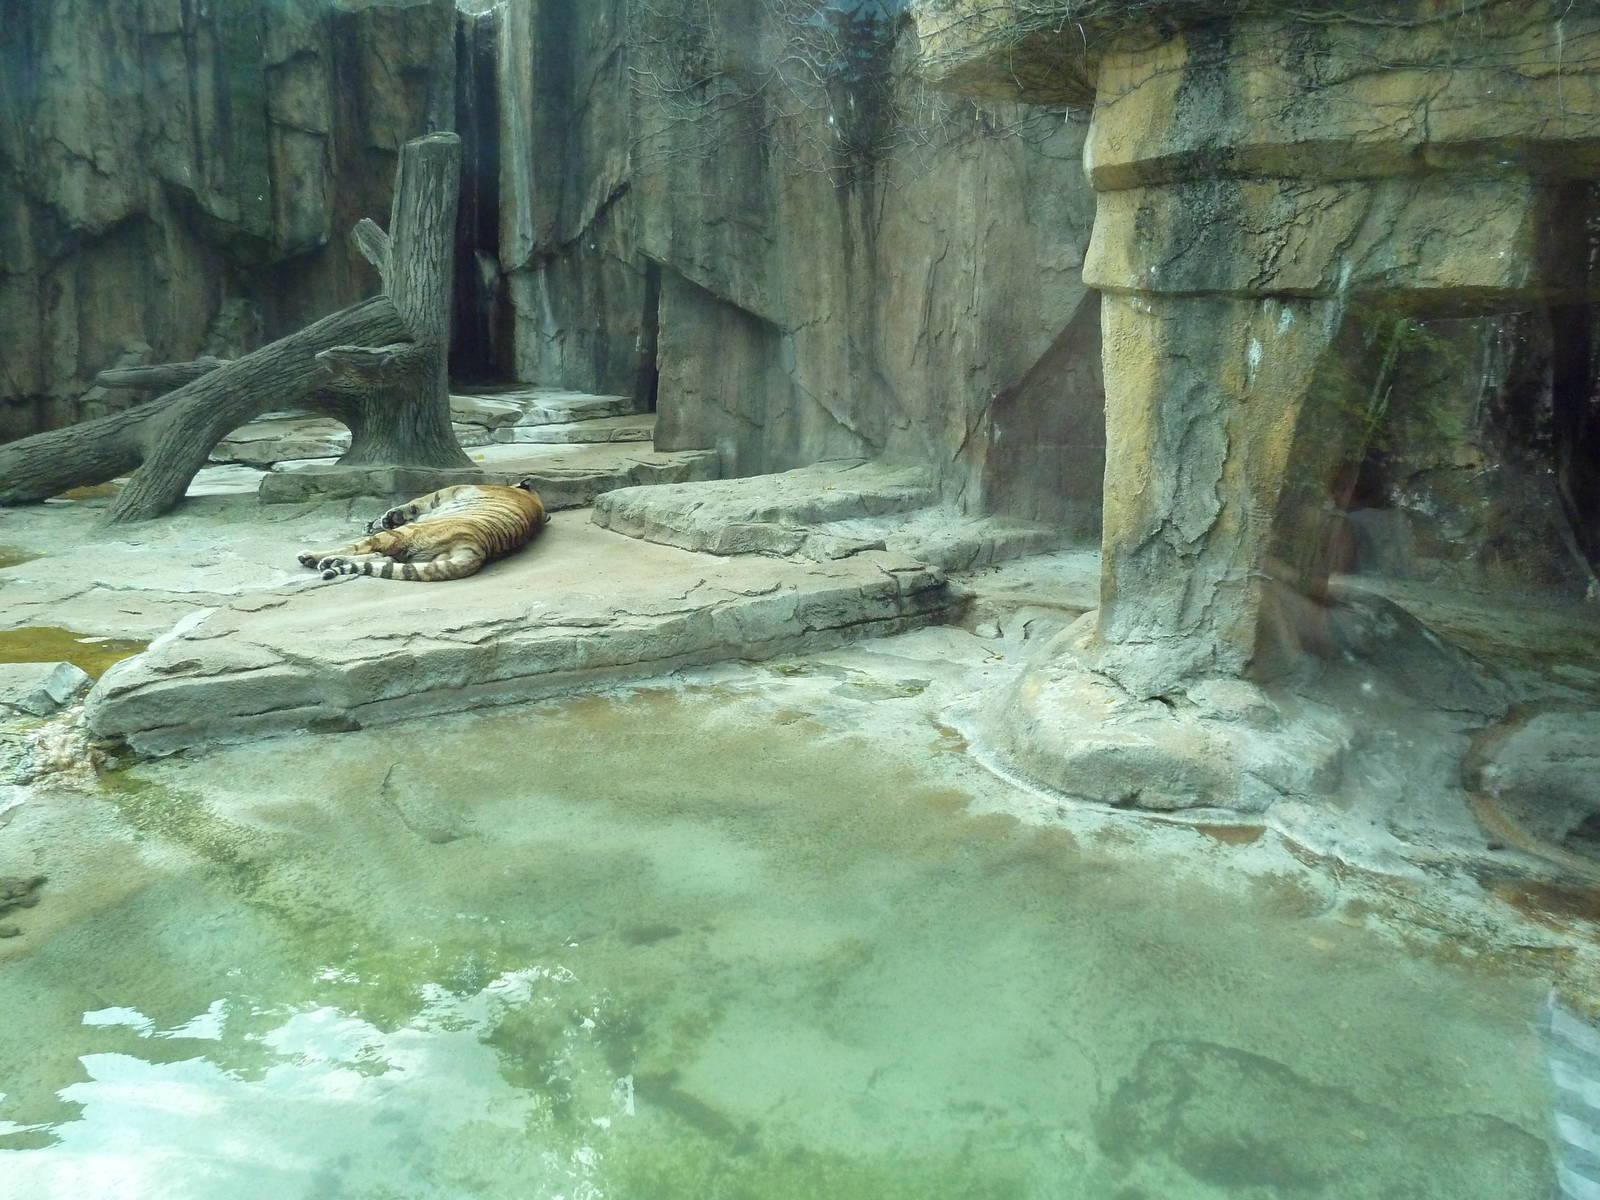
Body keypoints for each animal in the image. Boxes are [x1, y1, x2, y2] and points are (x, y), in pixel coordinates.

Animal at [297, 479, 547, 582]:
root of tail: (475, 546)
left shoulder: (444, 493)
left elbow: (412, 503)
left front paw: (385, 519)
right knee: (385, 559)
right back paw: (332, 563)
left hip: (406, 533)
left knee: (360, 548)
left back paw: (313, 557)